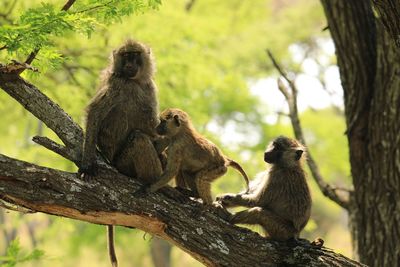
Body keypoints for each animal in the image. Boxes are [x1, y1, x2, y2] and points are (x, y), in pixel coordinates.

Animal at [79, 39, 164, 267]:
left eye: (135, 55)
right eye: (125, 56)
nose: (129, 65)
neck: (134, 82)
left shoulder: (150, 87)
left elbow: (155, 126)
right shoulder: (118, 85)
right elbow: (95, 111)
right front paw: (87, 164)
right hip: (122, 162)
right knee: (139, 138)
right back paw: (156, 182)